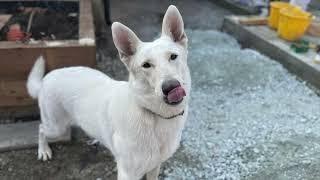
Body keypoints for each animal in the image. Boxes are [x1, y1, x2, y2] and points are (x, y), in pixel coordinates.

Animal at [26, 5, 190, 180]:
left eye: (173, 56)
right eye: (146, 65)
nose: (171, 86)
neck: (153, 114)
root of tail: (45, 79)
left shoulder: (154, 166)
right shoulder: (127, 173)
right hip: (56, 127)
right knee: (41, 129)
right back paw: (43, 150)